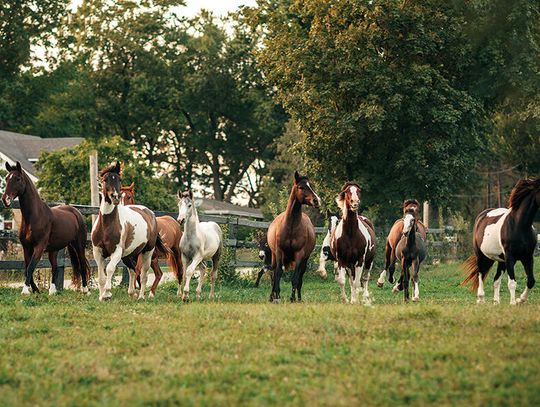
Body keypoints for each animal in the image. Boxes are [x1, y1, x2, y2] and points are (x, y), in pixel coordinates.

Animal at [1, 160, 89, 296]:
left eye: (18, 178)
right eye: (6, 178)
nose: (5, 199)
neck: (35, 216)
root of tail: (76, 212)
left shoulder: (39, 247)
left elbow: (30, 267)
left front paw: (25, 291)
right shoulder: (26, 247)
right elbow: (27, 268)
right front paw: (35, 290)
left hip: (79, 246)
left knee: (82, 265)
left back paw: (86, 290)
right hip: (54, 250)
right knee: (55, 267)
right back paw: (52, 291)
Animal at [91, 161, 169, 302]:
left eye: (119, 179)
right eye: (105, 179)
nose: (115, 197)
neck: (107, 225)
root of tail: (150, 213)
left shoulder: (116, 252)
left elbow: (110, 269)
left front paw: (107, 293)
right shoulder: (98, 252)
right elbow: (101, 276)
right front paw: (101, 296)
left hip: (147, 252)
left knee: (143, 274)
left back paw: (142, 296)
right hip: (129, 255)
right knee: (133, 270)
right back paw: (133, 293)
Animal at [266, 170, 320, 302]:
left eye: (310, 186)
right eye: (301, 187)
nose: (316, 200)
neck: (291, 227)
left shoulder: (299, 255)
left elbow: (295, 278)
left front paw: (292, 298)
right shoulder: (279, 252)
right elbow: (278, 274)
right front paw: (277, 296)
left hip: (304, 261)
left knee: (299, 277)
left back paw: (298, 298)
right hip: (274, 256)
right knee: (273, 274)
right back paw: (272, 296)